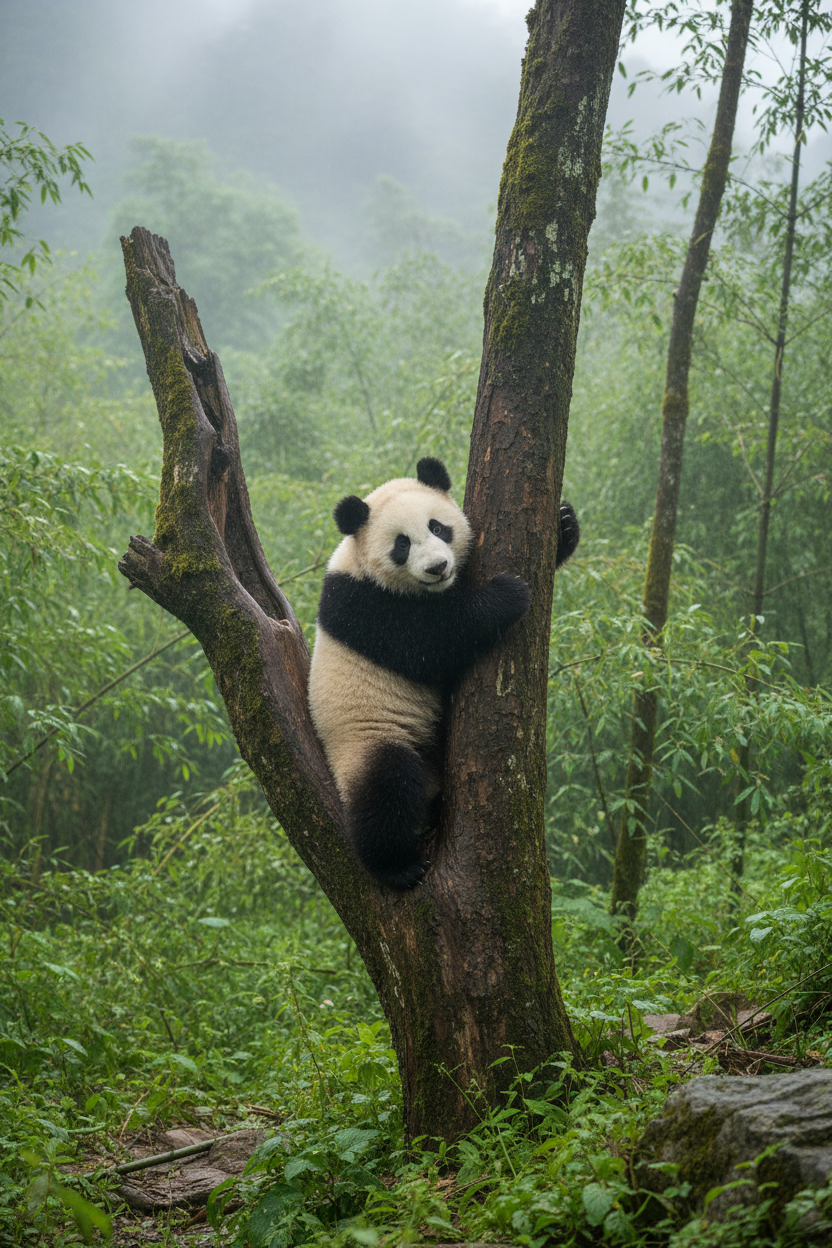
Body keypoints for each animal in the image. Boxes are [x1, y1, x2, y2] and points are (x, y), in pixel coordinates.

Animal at [308, 456, 579, 890]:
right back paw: (397, 865)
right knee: (387, 787)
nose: (438, 568)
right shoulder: (360, 603)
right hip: (365, 738)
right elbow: (430, 642)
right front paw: (506, 596)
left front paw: (565, 526)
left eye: (438, 527)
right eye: (402, 545)